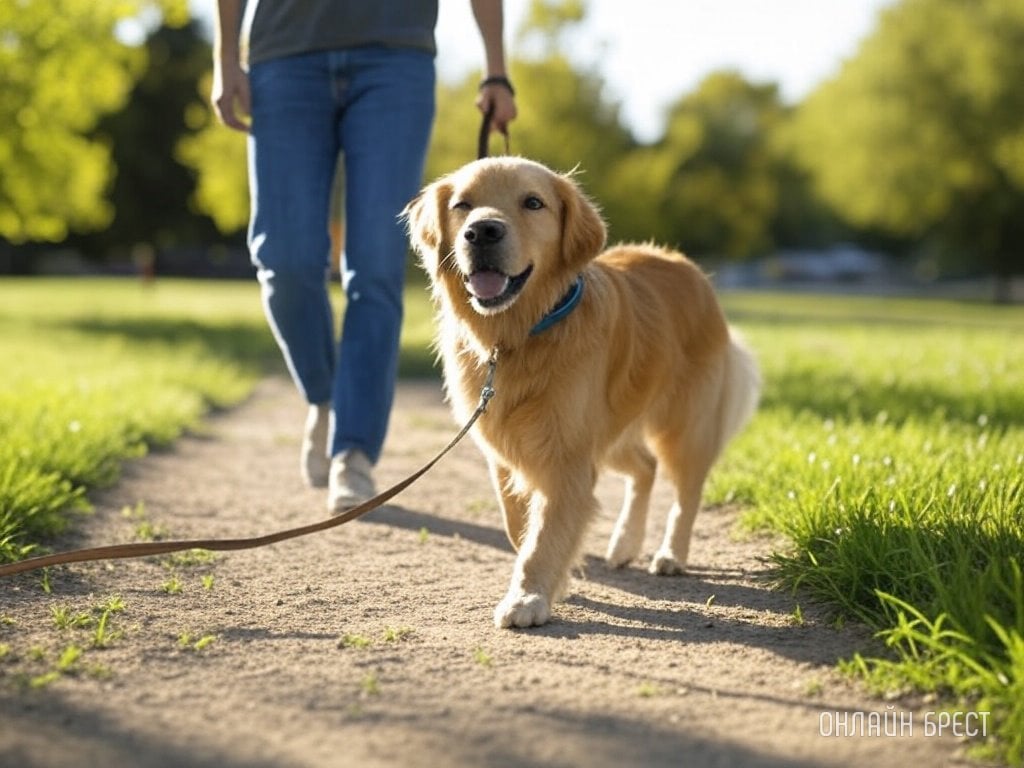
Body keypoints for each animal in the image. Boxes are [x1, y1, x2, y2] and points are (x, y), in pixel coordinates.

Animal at [403, 157, 757, 630]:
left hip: (682, 426)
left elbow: (544, 533)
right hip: (611, 432)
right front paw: (553, 579)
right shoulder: (506, 451)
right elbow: (519, 525)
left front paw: (529, 597)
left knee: (687, 491)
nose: (481, 232)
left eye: (533, 203)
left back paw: (670, 554)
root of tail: (688, 267)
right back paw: (625, 545)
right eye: (463, 204)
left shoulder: (566, 455)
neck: (517, 337)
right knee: (645, 468)